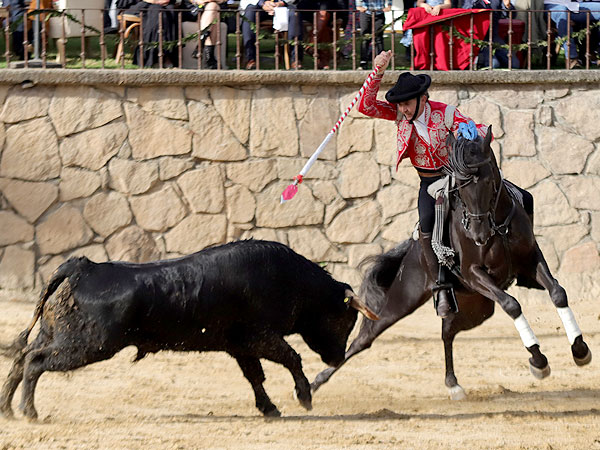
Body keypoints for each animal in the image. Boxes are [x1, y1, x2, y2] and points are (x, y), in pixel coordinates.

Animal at [0, 241, 376, 420]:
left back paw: (8, 410)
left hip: (55, 335)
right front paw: (304, 396)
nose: (338, 359)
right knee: (34, 362)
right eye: (345, 320)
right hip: (86, 345)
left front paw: (269, 408)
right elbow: (291, 358)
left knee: (21, 360)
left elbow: (255, 376)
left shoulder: (239, 345)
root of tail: (81, 267)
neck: (292, 280)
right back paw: (30, 413)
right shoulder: (259, 337)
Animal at [312, 125, 592, 400]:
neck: (497, 227)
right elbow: (512, 304)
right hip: (402, 301)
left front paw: (580, 350)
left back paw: (452, 383)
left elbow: (558, 292)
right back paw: (316, 382)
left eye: (488, 181)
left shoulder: (531, 259)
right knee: (365, 338)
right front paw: (539, 362)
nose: (478, 236)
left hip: (475, 308)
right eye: (460, 187)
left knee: (447, 332)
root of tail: (411, 249)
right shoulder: (474, 273)